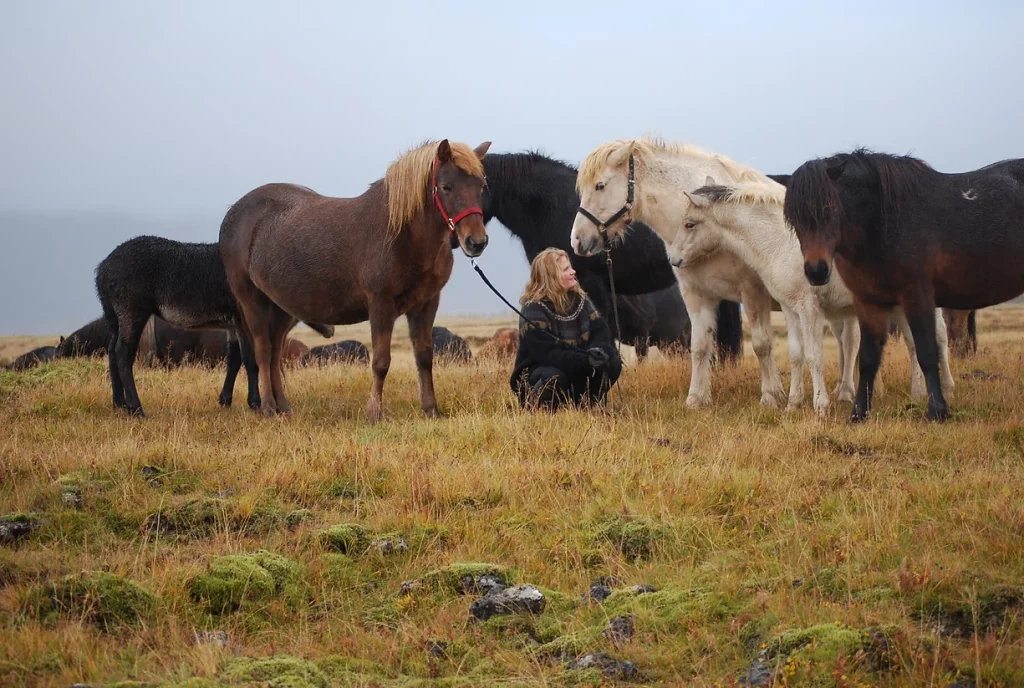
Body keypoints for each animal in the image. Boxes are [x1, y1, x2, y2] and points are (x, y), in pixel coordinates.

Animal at [96, 236, 331, 415]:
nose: (330, 329)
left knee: (111, 351)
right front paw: (255, 403)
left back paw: (119, 403)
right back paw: (136, 408)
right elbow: (250, 360)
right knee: (123, 353)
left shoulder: (233, 325)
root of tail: (103, 270)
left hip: (113, 316)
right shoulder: (243, 320)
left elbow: (234, 360)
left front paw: (226, 400)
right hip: (132, 311)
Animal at [220, 139, 491, 419]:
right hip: (252, 301)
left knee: (275, 352)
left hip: (282, 307)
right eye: (447, 187)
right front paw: (374, 413)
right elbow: (381, 361)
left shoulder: (426, 304)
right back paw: (268, 408)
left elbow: (425, 357)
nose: (476, 242)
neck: (402, 234)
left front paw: (431, 410)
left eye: (481, 186)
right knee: (263, 351)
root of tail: (234, 214)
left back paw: (283, 406)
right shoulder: (381, 303)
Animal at [569, 137, 798, 411]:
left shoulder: (753, 292)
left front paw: (771, 396)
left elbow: (762, 344)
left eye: (600, 185)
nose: (577, 241)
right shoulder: (696, 295)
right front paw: (696, 398)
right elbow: (699, 347)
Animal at [782, 147, 1024, 421]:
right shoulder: (868, 302)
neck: (885, 223)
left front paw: (937, 411)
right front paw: (858, 414)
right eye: (793, 218)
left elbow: (927, 352)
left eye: (830, 206)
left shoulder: (917, 297)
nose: (816, 271)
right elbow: (868, 358)